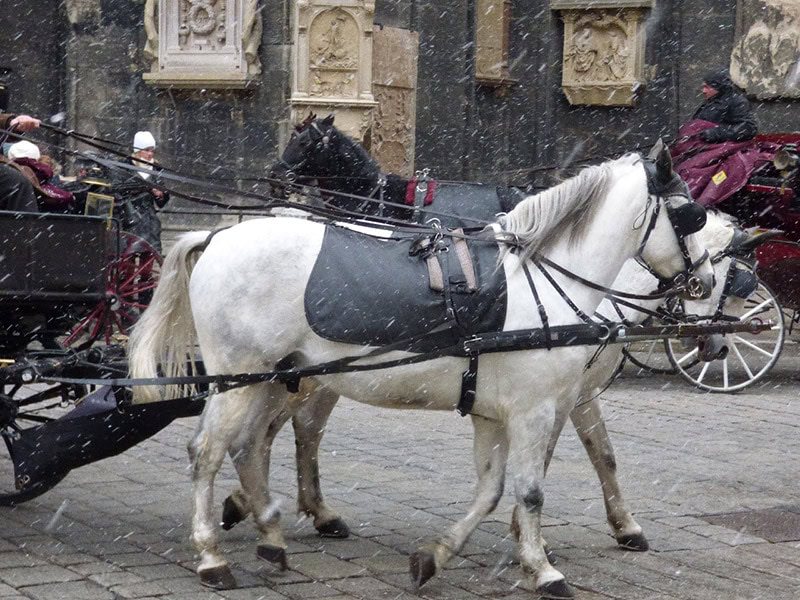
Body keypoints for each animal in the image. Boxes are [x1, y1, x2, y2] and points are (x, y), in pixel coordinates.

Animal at [129, 147, 714, 598]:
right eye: (692, 215)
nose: (705, 282)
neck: (543, 281)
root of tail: (216, 236)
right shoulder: (535, 410)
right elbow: (530, 490)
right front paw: (543, 568)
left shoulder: (494, 413)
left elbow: (492, 489)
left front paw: (436, 555)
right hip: (240, 379)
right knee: (208, 452)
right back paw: (211, 557)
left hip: (272, 378)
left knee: (249, 445)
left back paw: (271, 538)